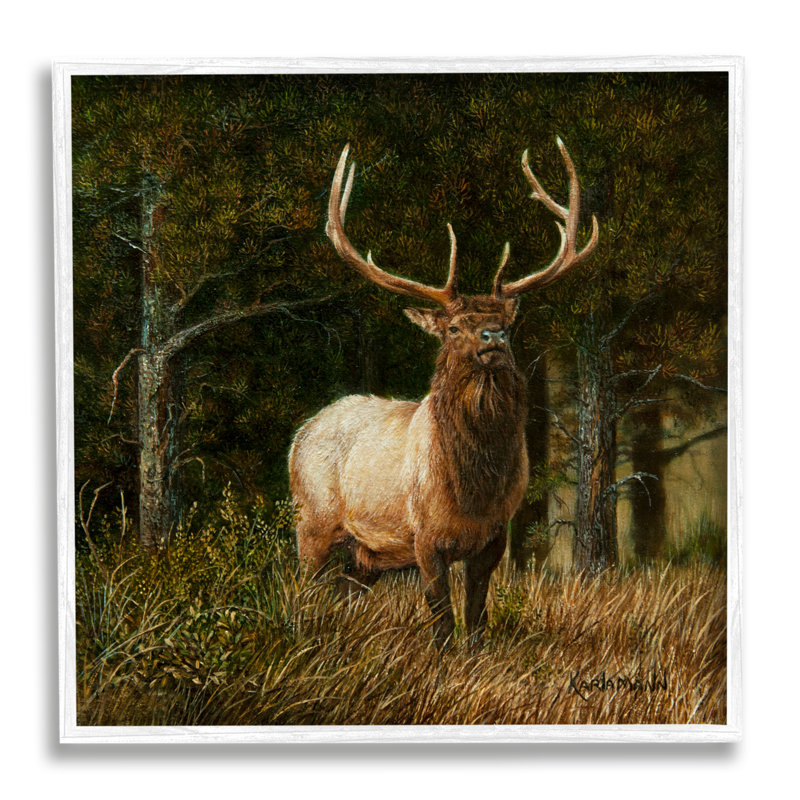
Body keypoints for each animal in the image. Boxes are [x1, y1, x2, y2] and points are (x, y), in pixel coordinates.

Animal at [289, 137, 598, 649]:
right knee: (302, 588)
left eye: (508, 324)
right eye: (454, 328)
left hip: (365, 554)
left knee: (344, 593)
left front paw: (475, 656)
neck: (472, 490)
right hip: (311, 521)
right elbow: (441, 616)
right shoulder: (423, 536)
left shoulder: (495, 536)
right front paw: (442, 657)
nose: (493, 337)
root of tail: (302, 432)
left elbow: (476, 614)